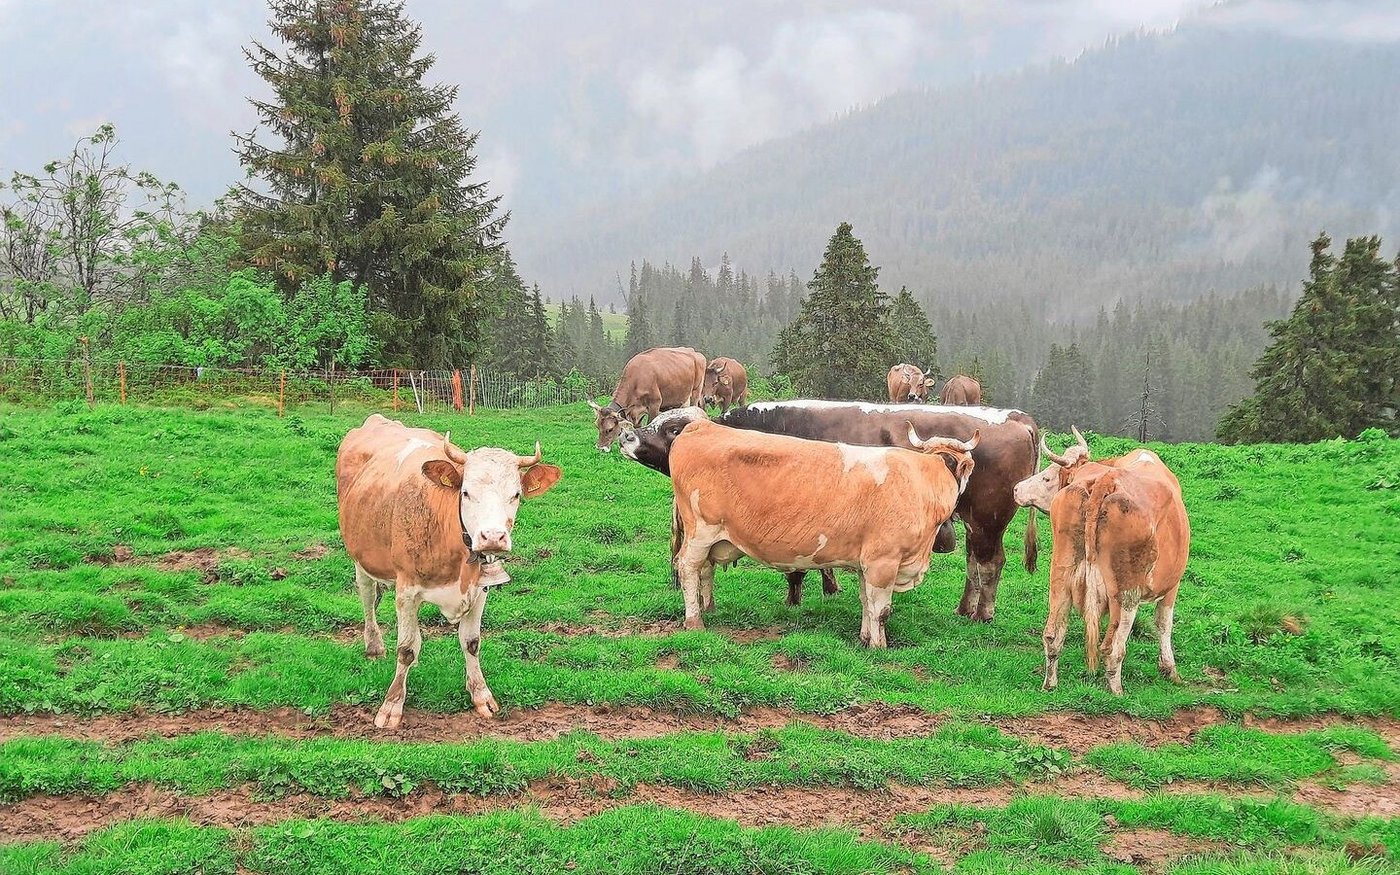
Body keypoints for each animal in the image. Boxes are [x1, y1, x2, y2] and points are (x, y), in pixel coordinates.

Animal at [336, 414, 562, 728]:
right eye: (465, 492)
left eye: (516, 495)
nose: (493, 537)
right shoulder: (406, 591)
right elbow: (405, 648)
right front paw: (392, 705)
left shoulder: (480, 589)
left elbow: (471, 642)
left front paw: (481, 695)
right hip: (360, 557)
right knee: (368, 598)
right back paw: (374, 645)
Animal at [620, 400, 1039, 621]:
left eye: (674, 429)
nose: (627, 435)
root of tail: (1018, 418)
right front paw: (829, 588)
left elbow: (796, 569)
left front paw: (795, 601)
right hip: (975, 524)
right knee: (974, 563)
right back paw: (964, 608)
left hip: (988, 520)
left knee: (990, 563)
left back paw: (982, 614)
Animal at [670, 419, 978, 645]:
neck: (923, 480)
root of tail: (701, 425)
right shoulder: (883, 561)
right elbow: (881, 610)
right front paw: (879, 646)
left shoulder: (866, 563)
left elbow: (866, 602)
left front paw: (864, 638)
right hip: (701, 531)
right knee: (687, 567)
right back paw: (694, 621)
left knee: (705, 569)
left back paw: (708, 607)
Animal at [1012, 430, 1189, 695]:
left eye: (1047, 477)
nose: (1015, 489)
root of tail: (1105, 480)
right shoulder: (1171, 585)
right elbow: (1163, 623)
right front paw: (1170, 670)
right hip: (1127, 593)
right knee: (1113, 648)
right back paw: (1117, 692)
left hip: (1060, 577)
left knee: (1053, 635)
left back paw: (1050, 683)